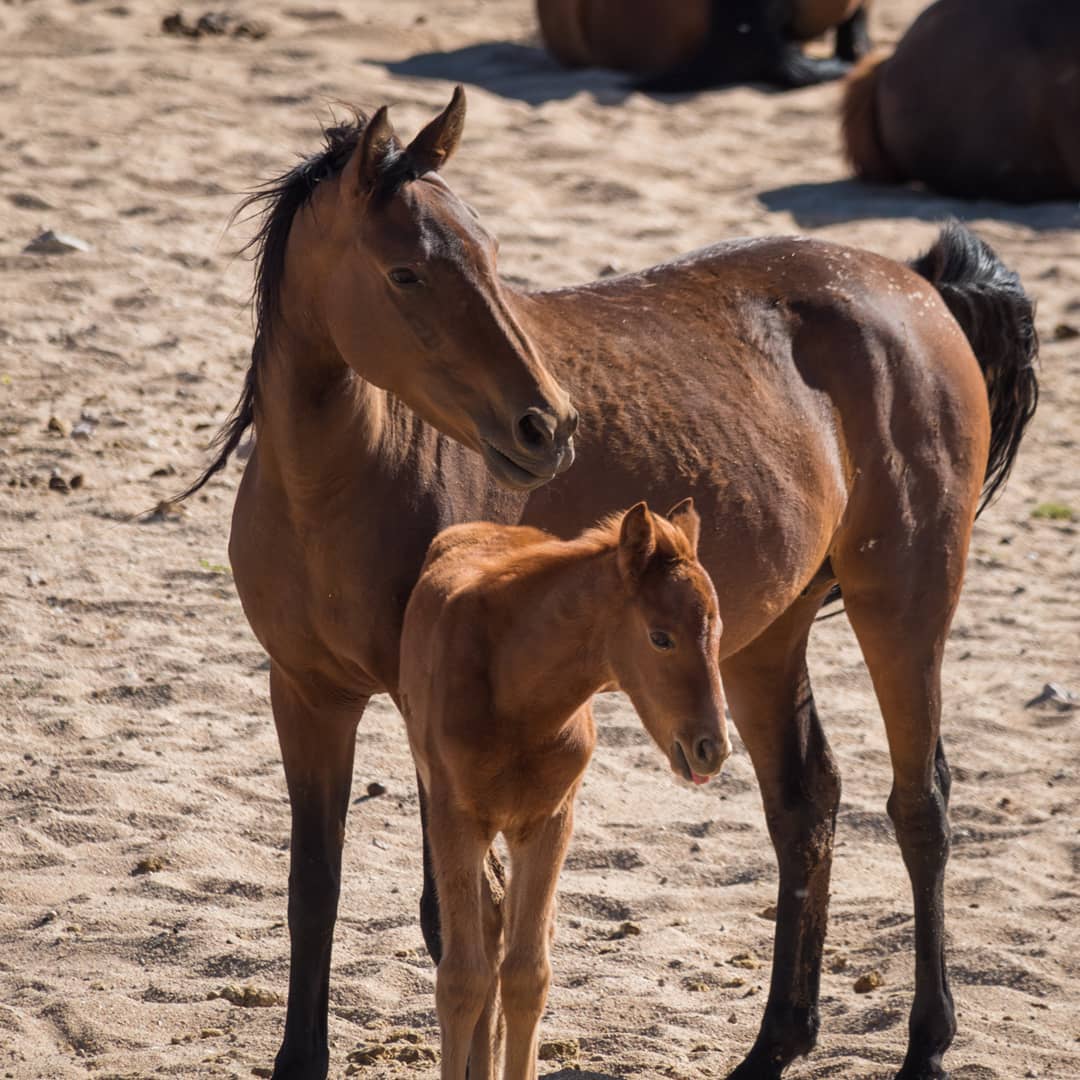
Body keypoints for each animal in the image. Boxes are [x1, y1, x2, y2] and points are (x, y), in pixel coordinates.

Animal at [401, 503, 730, 1080]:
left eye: (718, 631)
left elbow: (528, 973)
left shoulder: (549, 822)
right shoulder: (454, 820)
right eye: (661, 637)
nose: (713, 747)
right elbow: (462, 978)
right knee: (487, 933)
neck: (516, 698)